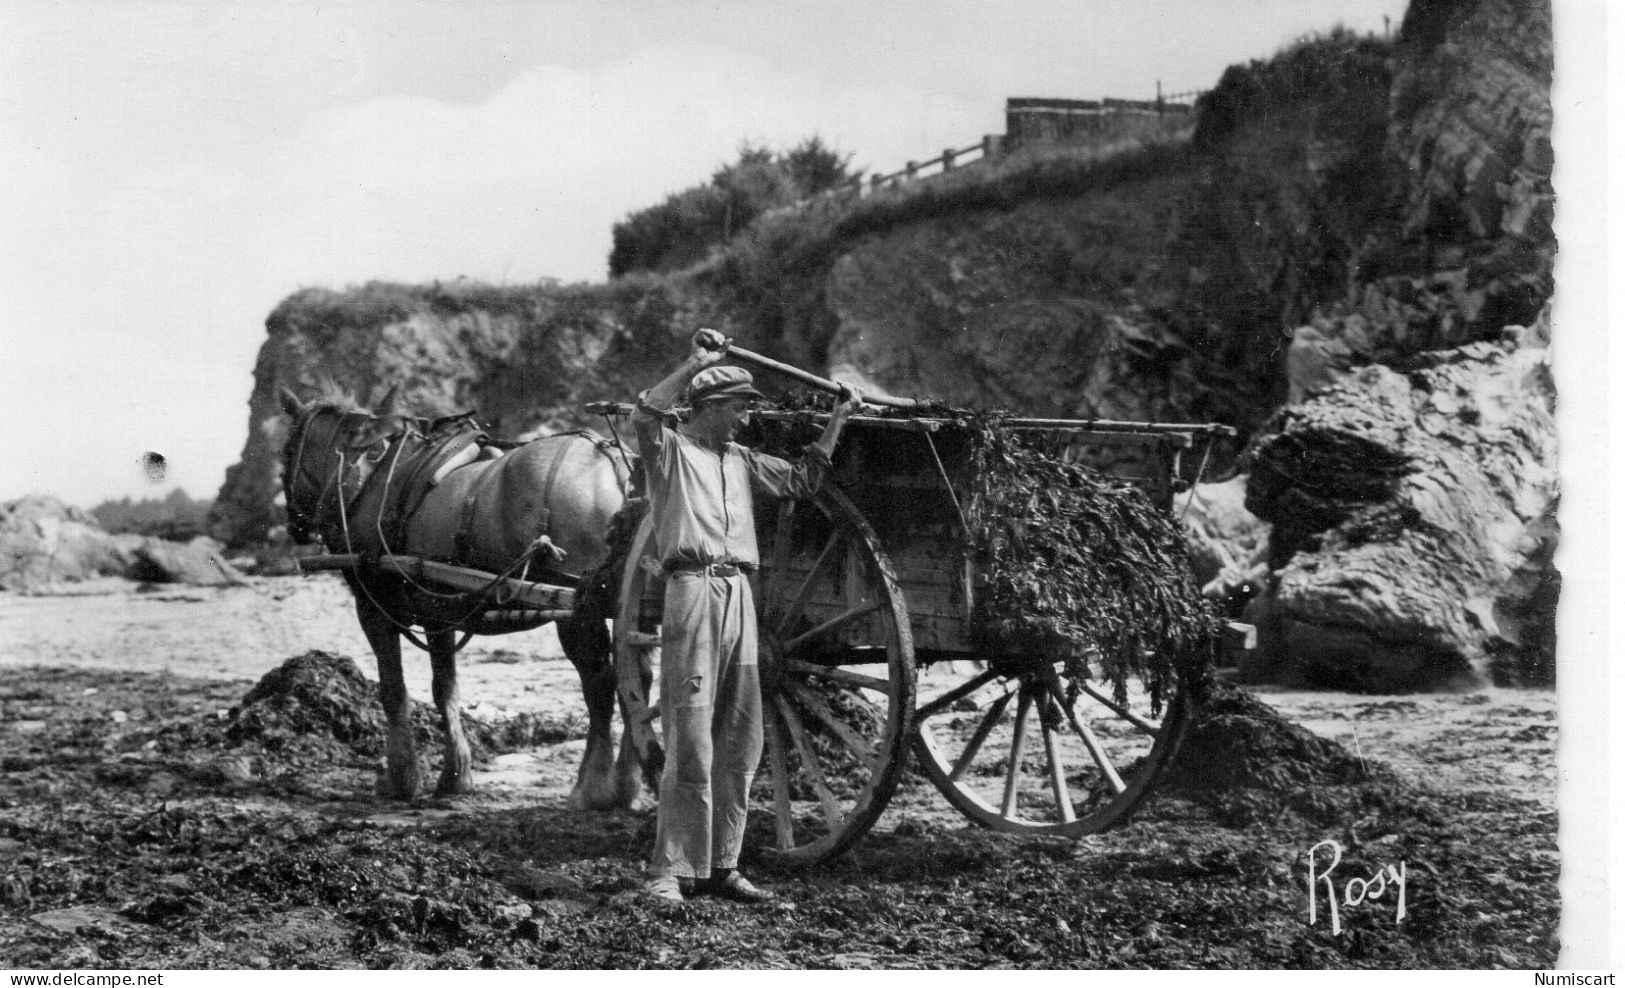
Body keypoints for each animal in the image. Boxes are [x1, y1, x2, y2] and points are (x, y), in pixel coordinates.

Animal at [276, 381, 637, 806]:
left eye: (287, 451)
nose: (295, 526)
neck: (367, 476)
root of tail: (614, 466)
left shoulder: (373, 608)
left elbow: (393, 692)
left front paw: (400, 780)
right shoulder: (438, 613)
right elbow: (444, 689)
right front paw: (455, 775)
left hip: (580, 607)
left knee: (600, 684)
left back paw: (593, 787)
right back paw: (627, 781)